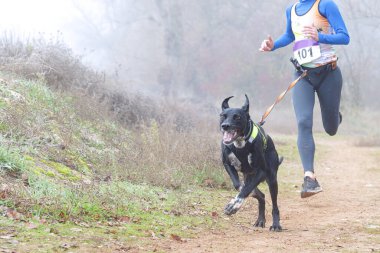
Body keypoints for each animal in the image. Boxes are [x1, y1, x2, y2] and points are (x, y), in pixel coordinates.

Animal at [220, 95, 282, 231]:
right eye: (222, 115)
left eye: (237, 117)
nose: (225, 126)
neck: (240, 144)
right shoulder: (228, 165)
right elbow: (239, 185)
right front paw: (239, 198)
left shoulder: (261, 171)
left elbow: (246, 189)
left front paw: (235, 205)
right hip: (249, 174)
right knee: (262, 196)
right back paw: (260, 220)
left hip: (272, 179)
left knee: (275, 204)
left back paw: (276, 224)